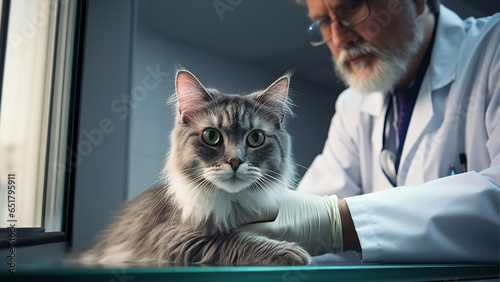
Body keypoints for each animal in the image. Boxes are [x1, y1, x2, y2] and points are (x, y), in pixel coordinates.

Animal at [74, 69, 310, 266]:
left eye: (256, 138)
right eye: (211, 136)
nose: (235, 161)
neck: (232, 203)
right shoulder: (175, 237)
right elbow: (233, 240)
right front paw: (289, 252)